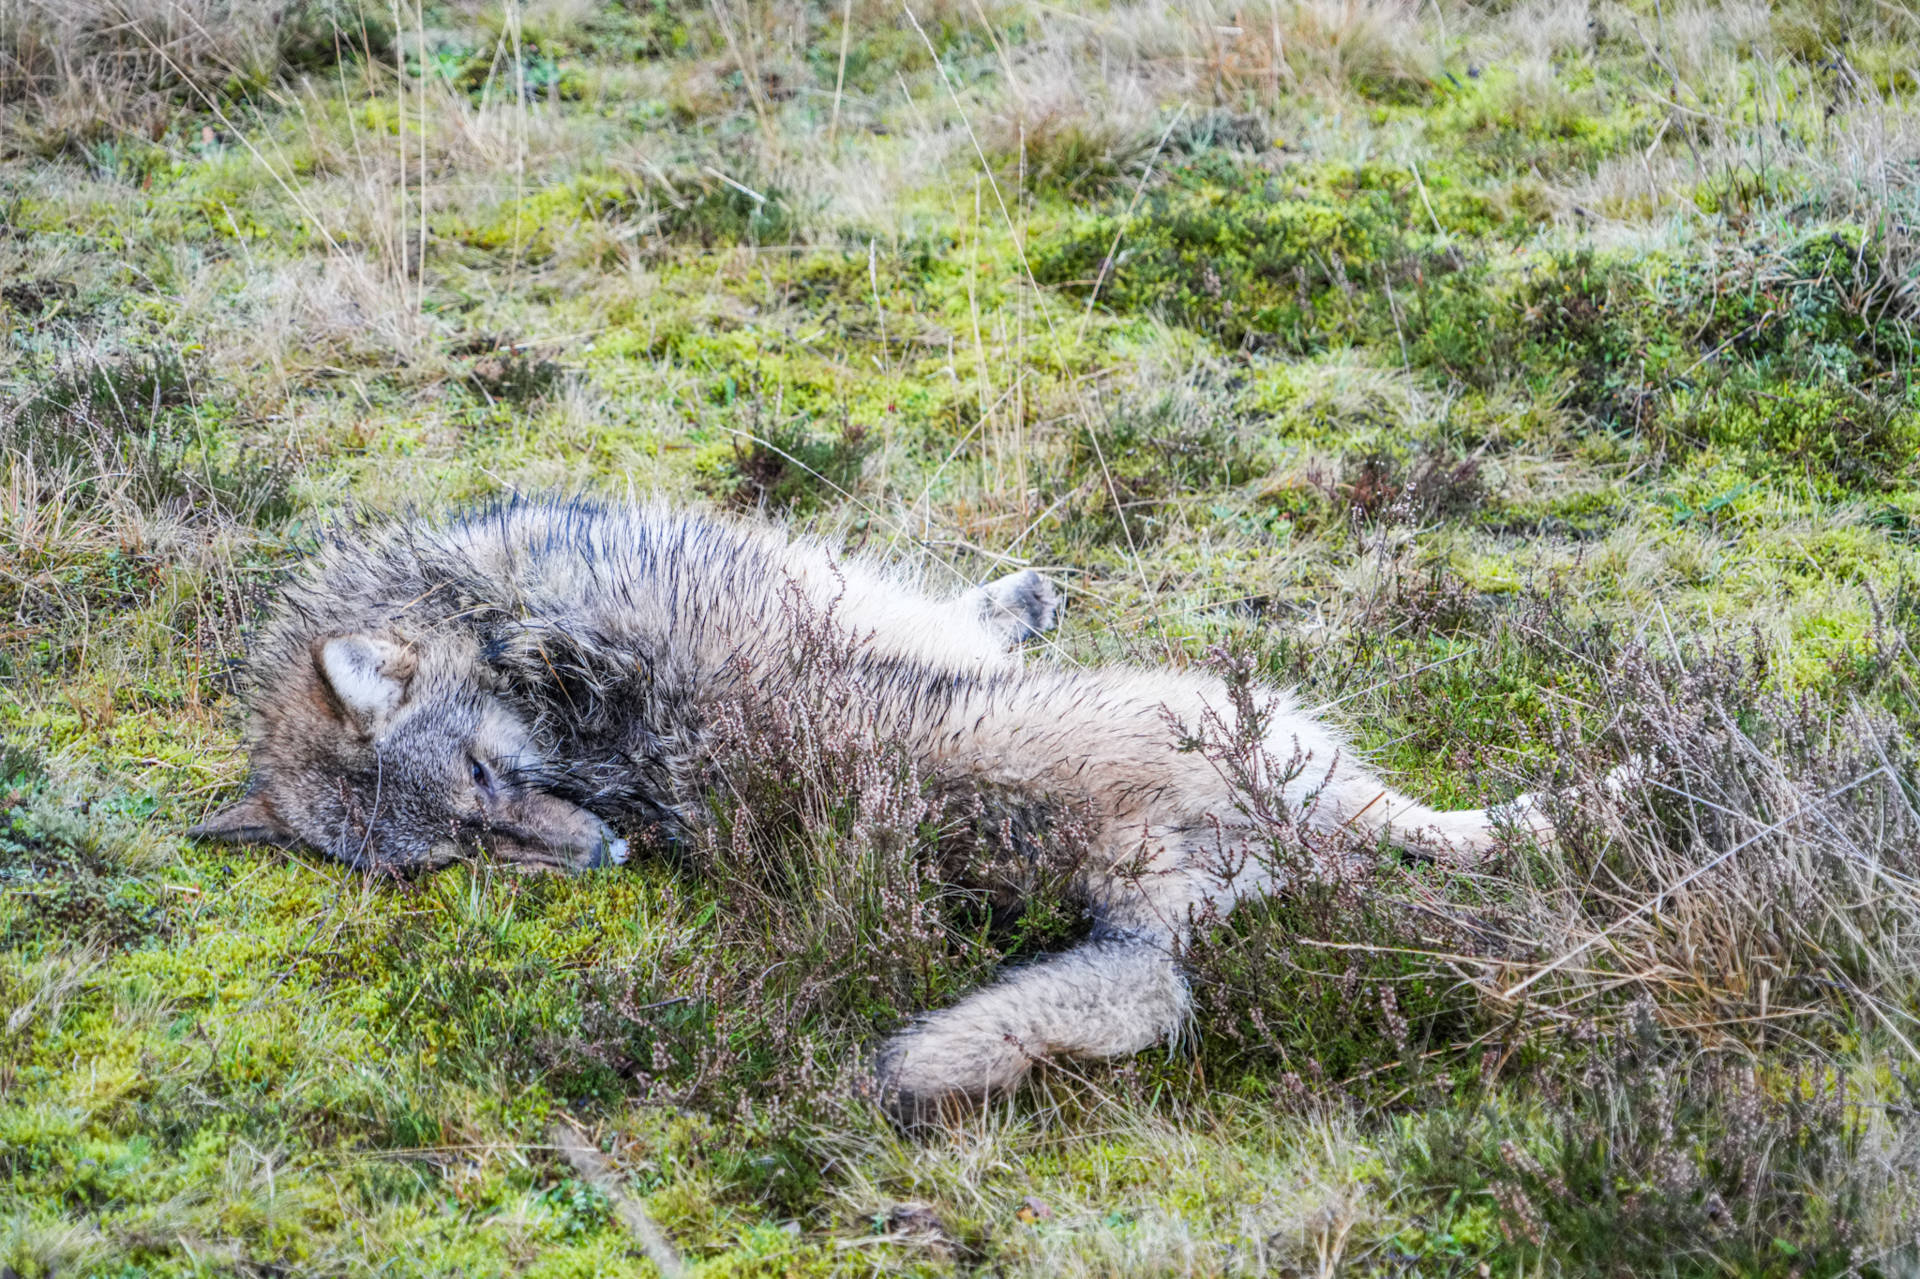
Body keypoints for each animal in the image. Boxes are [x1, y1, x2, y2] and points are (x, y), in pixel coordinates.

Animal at [192, 498, 1556, 1117]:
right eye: (464, 854)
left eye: (488, 796)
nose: (605, 853)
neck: (484, 605)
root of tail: (1132, 902)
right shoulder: (862, 606)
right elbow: (959, 613)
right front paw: (1021, 596)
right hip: (1269, 725)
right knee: (1446, 836)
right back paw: (1569, 808)